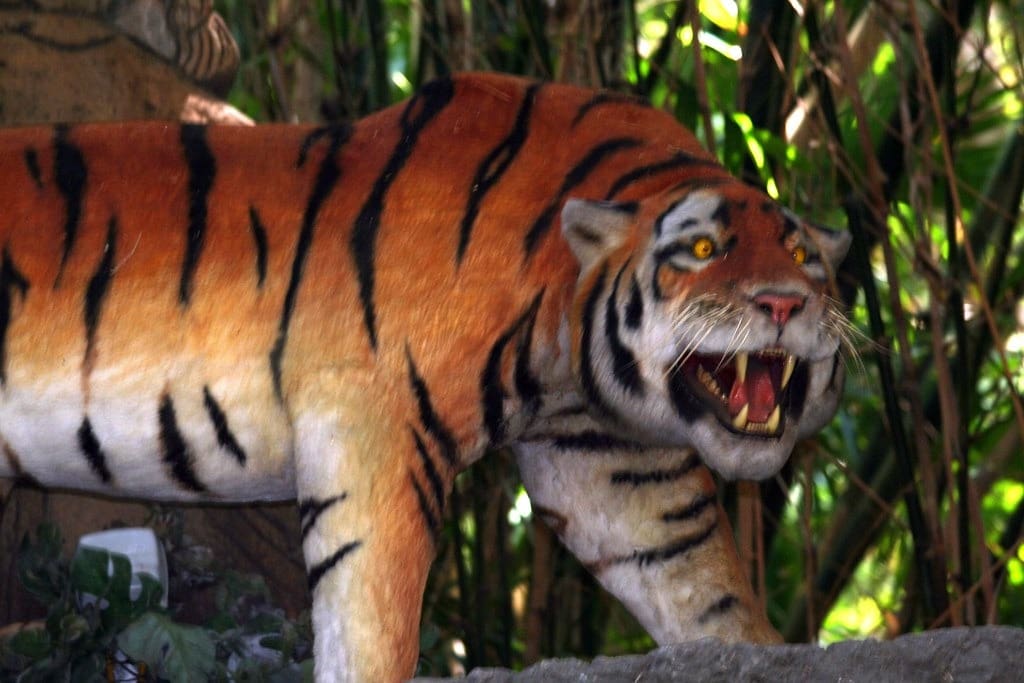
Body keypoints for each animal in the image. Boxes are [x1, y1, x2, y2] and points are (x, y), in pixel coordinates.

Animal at [0, 72, 847, 679]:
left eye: (802, 254)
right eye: (702, 250)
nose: (783, 302)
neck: (564, 344)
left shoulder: (614, 466)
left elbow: (705, 587)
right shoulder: (373, 427)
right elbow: (372, 616)